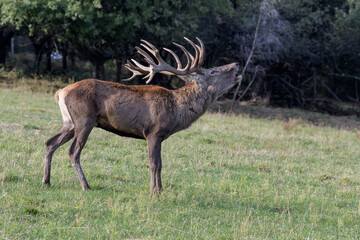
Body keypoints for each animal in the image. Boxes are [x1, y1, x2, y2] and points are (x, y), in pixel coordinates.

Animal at [43, 37, 242, 193]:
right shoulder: (153, 132)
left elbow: (160, 163)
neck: (177, 111)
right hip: (84, 119)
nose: (236, 64)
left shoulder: (160, 136)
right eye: (214, 71)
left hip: (69, 122)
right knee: (73, 151)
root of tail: (60, 92)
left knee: (50, 142)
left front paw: (160, 189)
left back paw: (46, 181)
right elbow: (154, 164)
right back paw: (85, 185)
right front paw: (154, 191)